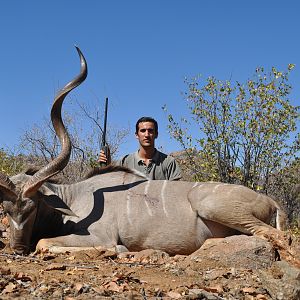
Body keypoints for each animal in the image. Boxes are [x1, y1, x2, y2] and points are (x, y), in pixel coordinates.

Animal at [0, 46, 292, 260]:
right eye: (6, 209)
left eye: (32, 206)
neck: (72, 198)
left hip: (215, 207)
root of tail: (271, 201)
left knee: (280, 236)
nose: (17, 249)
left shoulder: (99, 235)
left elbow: (44, 243)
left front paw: (120, 250)